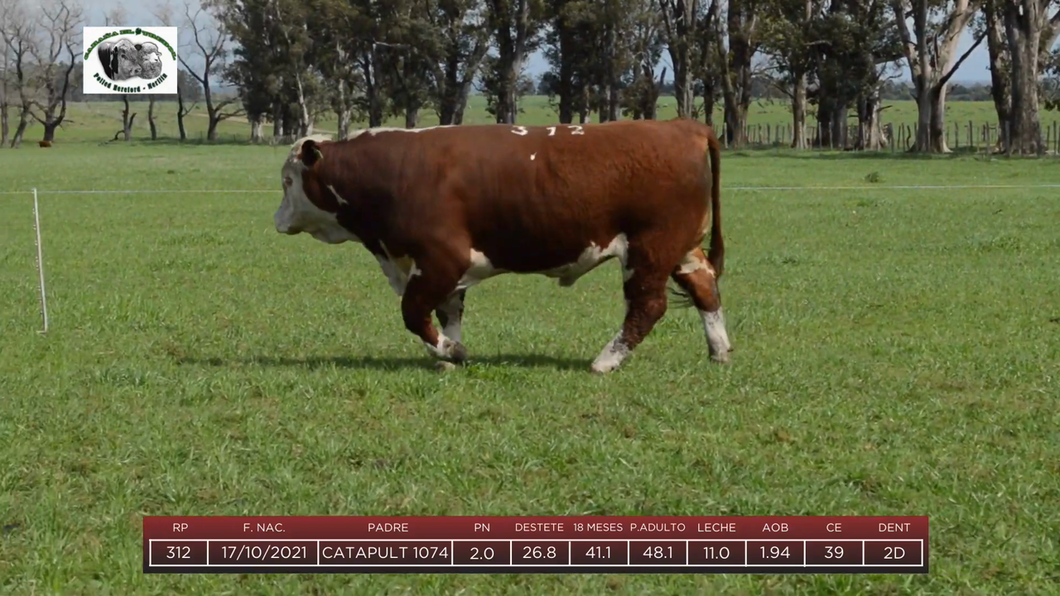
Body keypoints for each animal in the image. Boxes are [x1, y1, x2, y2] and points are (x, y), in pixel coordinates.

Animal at [273, 118, 733, 371]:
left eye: (287, 180)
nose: (277, 219)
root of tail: (681, 126)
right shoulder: (441, 270)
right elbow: (448, 311)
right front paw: (448, 355)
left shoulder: (440, 258)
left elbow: (413, 312)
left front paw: (451, 351)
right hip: (681, 248)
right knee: (705, 288)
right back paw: (719, 351)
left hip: (649, 248)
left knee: (647, 305)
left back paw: (606, 361)